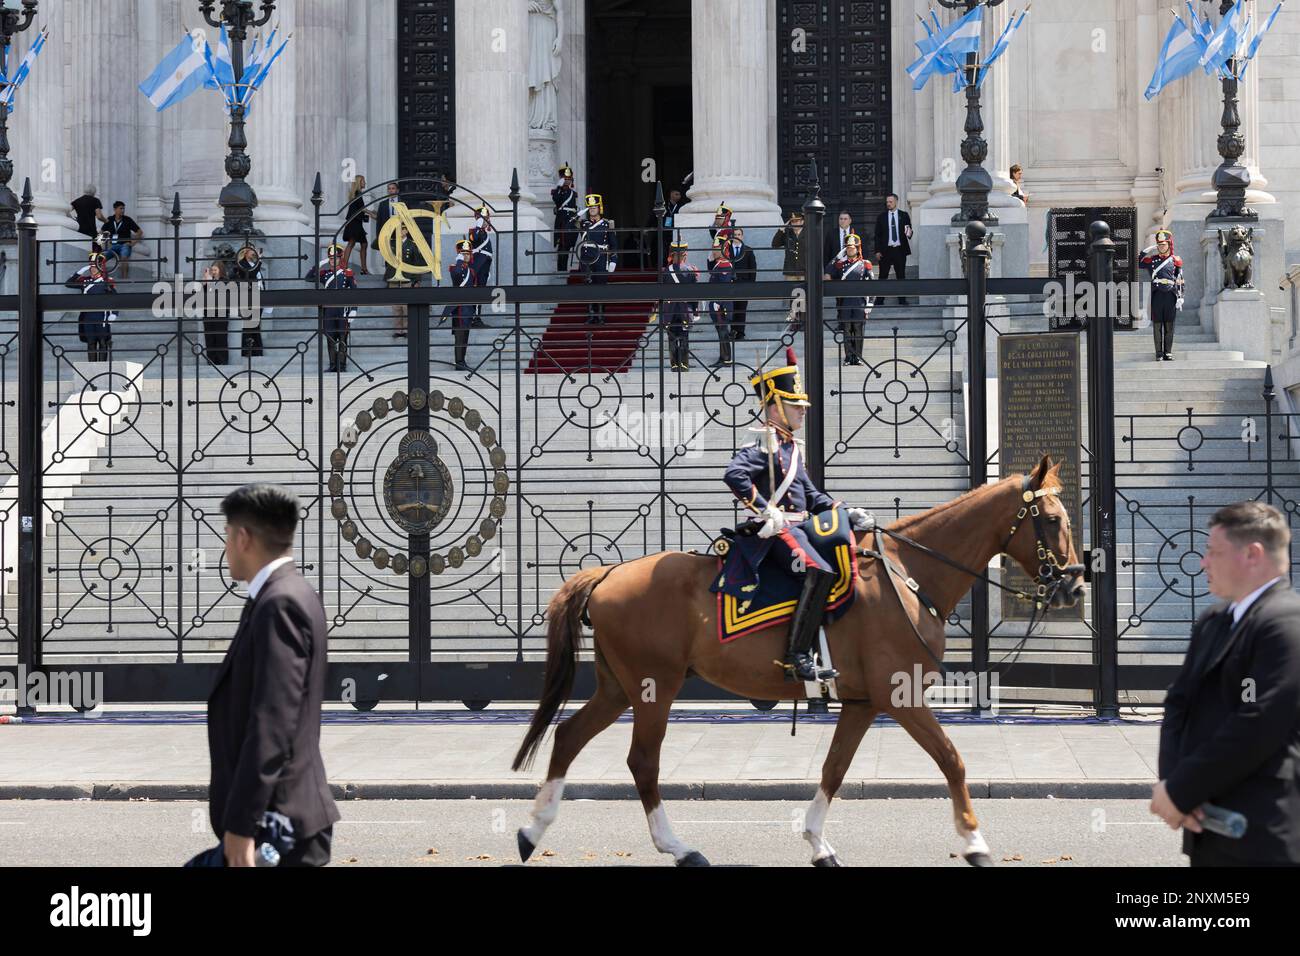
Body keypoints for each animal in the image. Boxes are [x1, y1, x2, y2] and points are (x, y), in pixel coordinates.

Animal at [512, 455, 1081, 868]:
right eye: (1053, 520)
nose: (1075, 584)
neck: (908, 574)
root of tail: (608, 573)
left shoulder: (862, 703)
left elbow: (835, 768)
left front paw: (817, 843)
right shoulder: (901, 696)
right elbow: (952, 759)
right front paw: (974, 842)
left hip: (618, 688)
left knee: (568, 737)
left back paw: (531, 830)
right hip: (655, 688)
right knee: (642, 762)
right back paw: (678, 847)